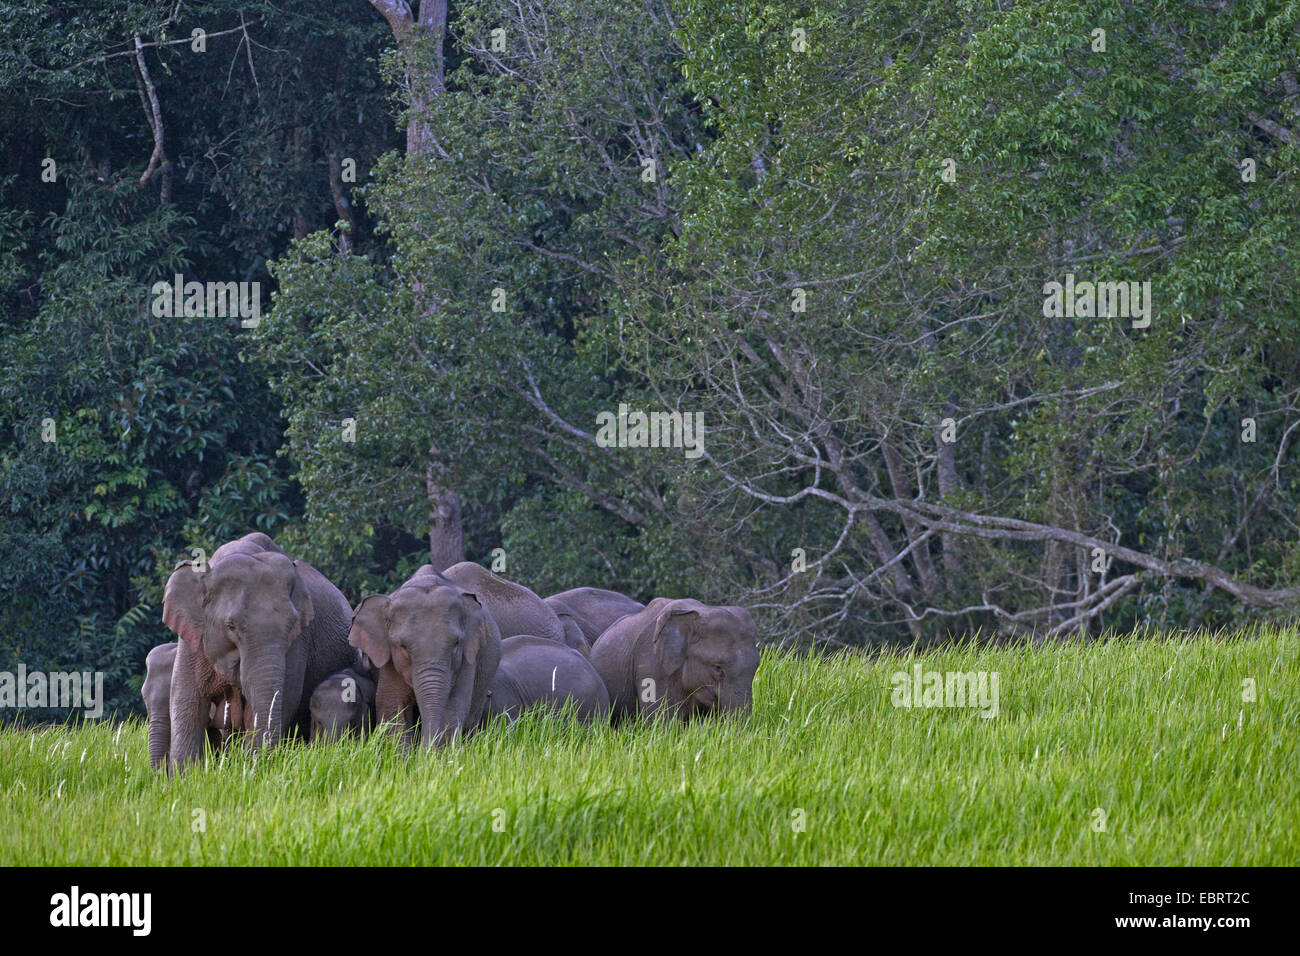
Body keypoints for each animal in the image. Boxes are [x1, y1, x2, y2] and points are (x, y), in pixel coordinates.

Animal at [162, 530, 356, 770]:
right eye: (231, 626)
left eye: (293, 624)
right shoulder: (192, 640)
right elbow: (186, 702)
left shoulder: (297, 644)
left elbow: (279, 702)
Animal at [351, 567, 501, 749]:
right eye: (403, 646)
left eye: (456, 643)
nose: (425, 750)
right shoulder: (390, 660)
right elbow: (392, 706)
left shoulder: (467, 658)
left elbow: (454, 707)